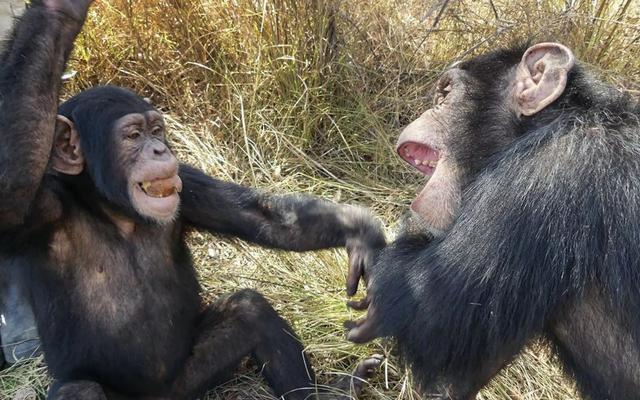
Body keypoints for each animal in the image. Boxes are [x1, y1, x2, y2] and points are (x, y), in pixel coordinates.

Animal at [0, 1, 384, 398]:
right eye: (133, 135)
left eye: (156, 130)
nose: (158, 148)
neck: (115, 213)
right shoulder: (43, 211)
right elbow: (11, 192)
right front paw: (56, 12)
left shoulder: (191, 186)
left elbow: (264, 218)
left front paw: (364, 235)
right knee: (79, 389)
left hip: (189, 377)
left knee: (249, 311)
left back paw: (337, 388)